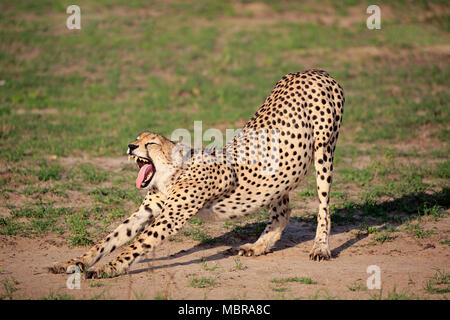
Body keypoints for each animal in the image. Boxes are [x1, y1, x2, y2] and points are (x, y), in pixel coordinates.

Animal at [48, 69, 344, 278]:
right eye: (137, 138)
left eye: (150, 143)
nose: (131, 146)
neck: (170, 174)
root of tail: (313, 70)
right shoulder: (148, 210)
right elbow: (109, 239)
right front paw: (74, 262)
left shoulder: (174, 214)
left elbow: (137, 244)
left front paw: (108, 268)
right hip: (280, 172)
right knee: (282, 211)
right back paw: (258, 246)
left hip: (324, 151)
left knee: (323, 205)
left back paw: (320, 247)